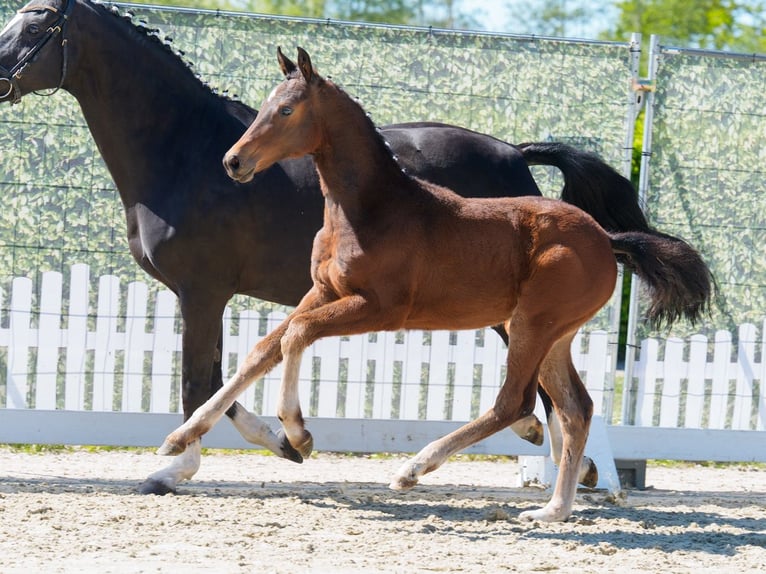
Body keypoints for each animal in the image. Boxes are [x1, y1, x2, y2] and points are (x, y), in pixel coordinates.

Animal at [1, 0, 659, 495]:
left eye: (35, 29)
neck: (183, 153)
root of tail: (516, 153)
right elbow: (232, 371)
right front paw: (280, 443)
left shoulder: (202, 292)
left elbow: (201, 378)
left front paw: (177, 466)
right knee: (548, 394)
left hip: (503, 308)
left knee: (539, 392)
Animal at [159, 47, 713, 522]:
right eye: (266, 107)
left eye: (287, 110)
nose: (233, 161)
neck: (369, 211)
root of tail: (606, 237)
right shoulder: (321, 293)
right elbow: (261, 351)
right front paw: (180, 437)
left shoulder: (380, 309)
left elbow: (296, 336)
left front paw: (298, 434)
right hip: (555, 334)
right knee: (576, 408)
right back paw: (552, 511)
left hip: (531, 324)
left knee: (516, 402)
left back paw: (414, 469)